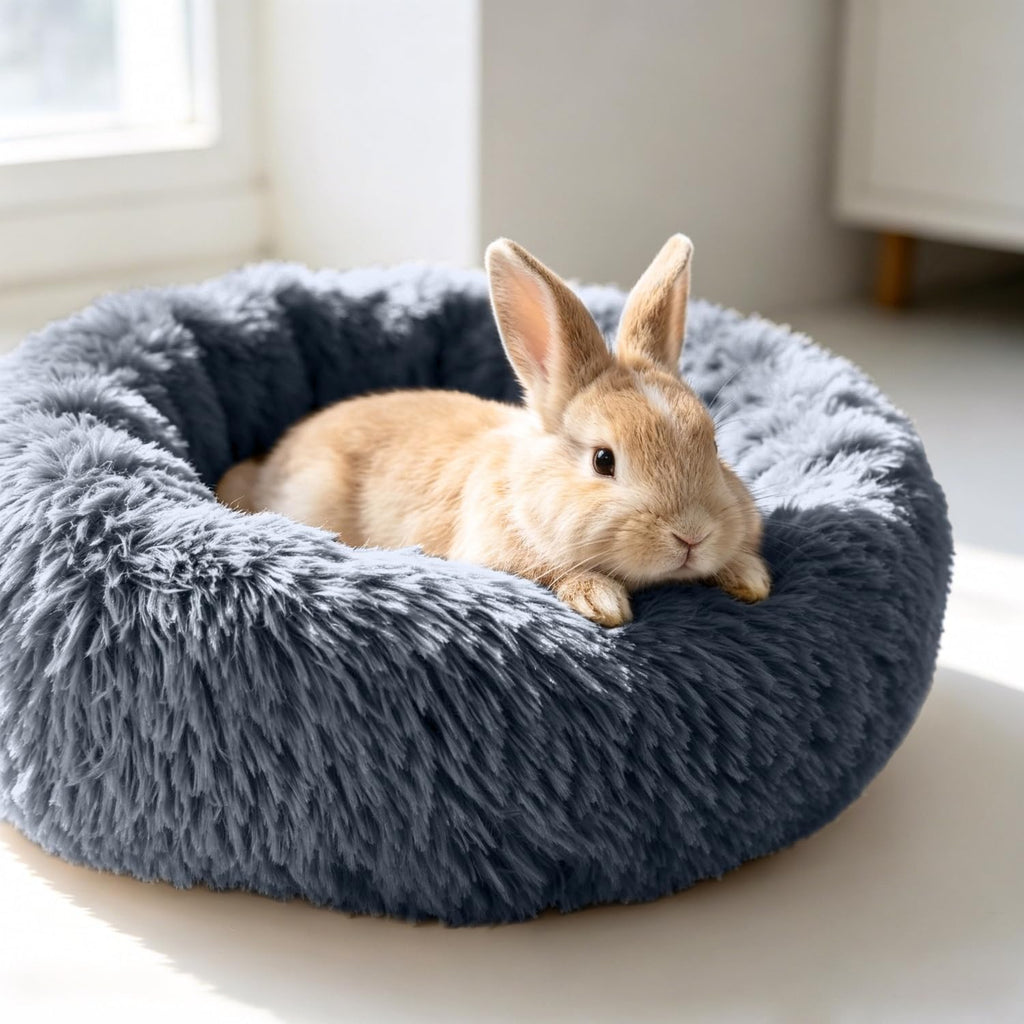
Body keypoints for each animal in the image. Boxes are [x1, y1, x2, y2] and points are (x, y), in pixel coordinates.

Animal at [216, 235, 770, 626]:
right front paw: (602, 601)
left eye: (713, 445)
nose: (692, 535)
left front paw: (750, 577)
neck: (521, 488)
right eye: (603, 460)